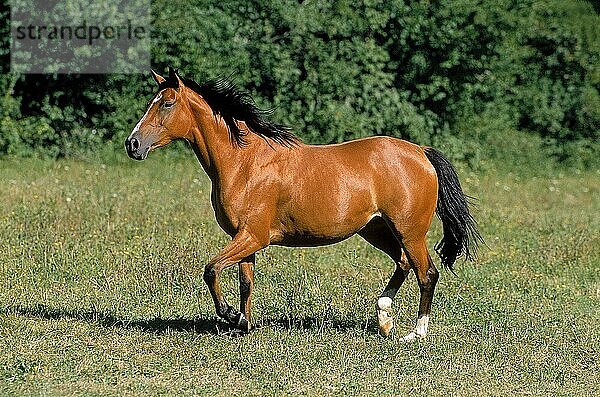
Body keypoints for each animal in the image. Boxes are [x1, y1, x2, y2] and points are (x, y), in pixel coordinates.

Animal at [124, 66, 480, 338]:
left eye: (167, 103)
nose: (133, 144)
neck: (244, 163)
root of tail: (421, 152)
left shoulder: (253, 236)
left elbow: (211, 270)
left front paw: (230, 315)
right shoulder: (244, 238)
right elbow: (245, 283)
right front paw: (243, 324)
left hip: (409, 231)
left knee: (427, 273)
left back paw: (415, 333)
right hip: (377, 230)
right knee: (404, 264)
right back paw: (384, 318)